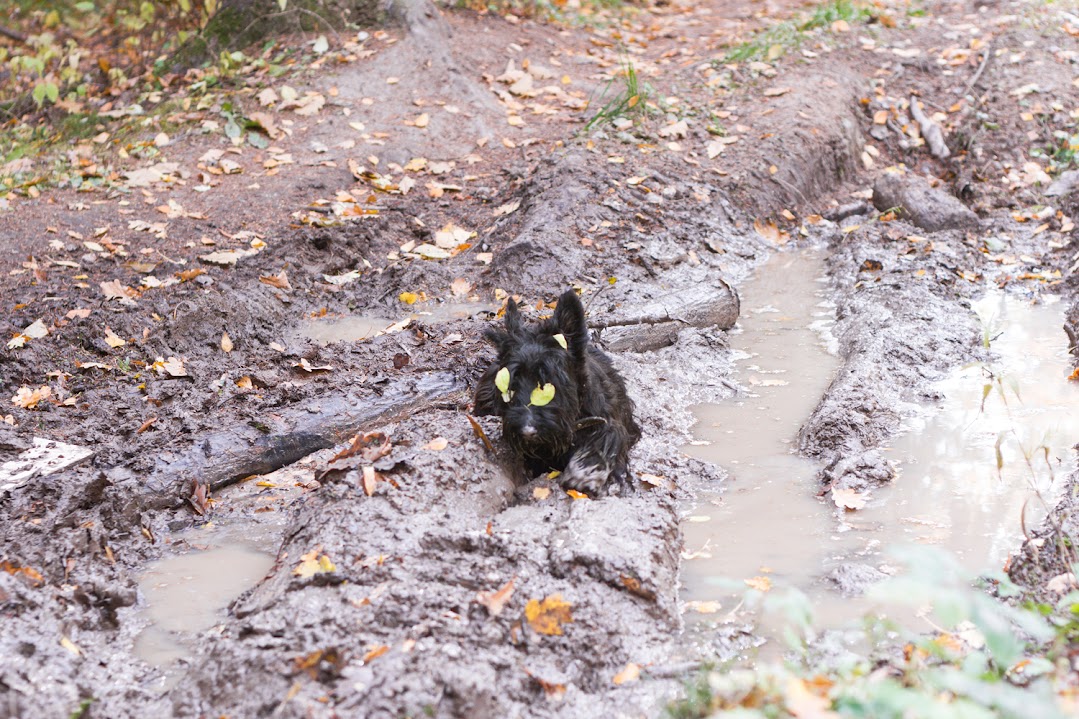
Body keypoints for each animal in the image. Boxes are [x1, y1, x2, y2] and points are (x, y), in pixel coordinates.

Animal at [474, 287, 638, 492]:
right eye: (511, 386)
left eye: (550, 381)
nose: (527, 431)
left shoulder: (611, 421)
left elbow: (608, 437)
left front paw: (583, 473)